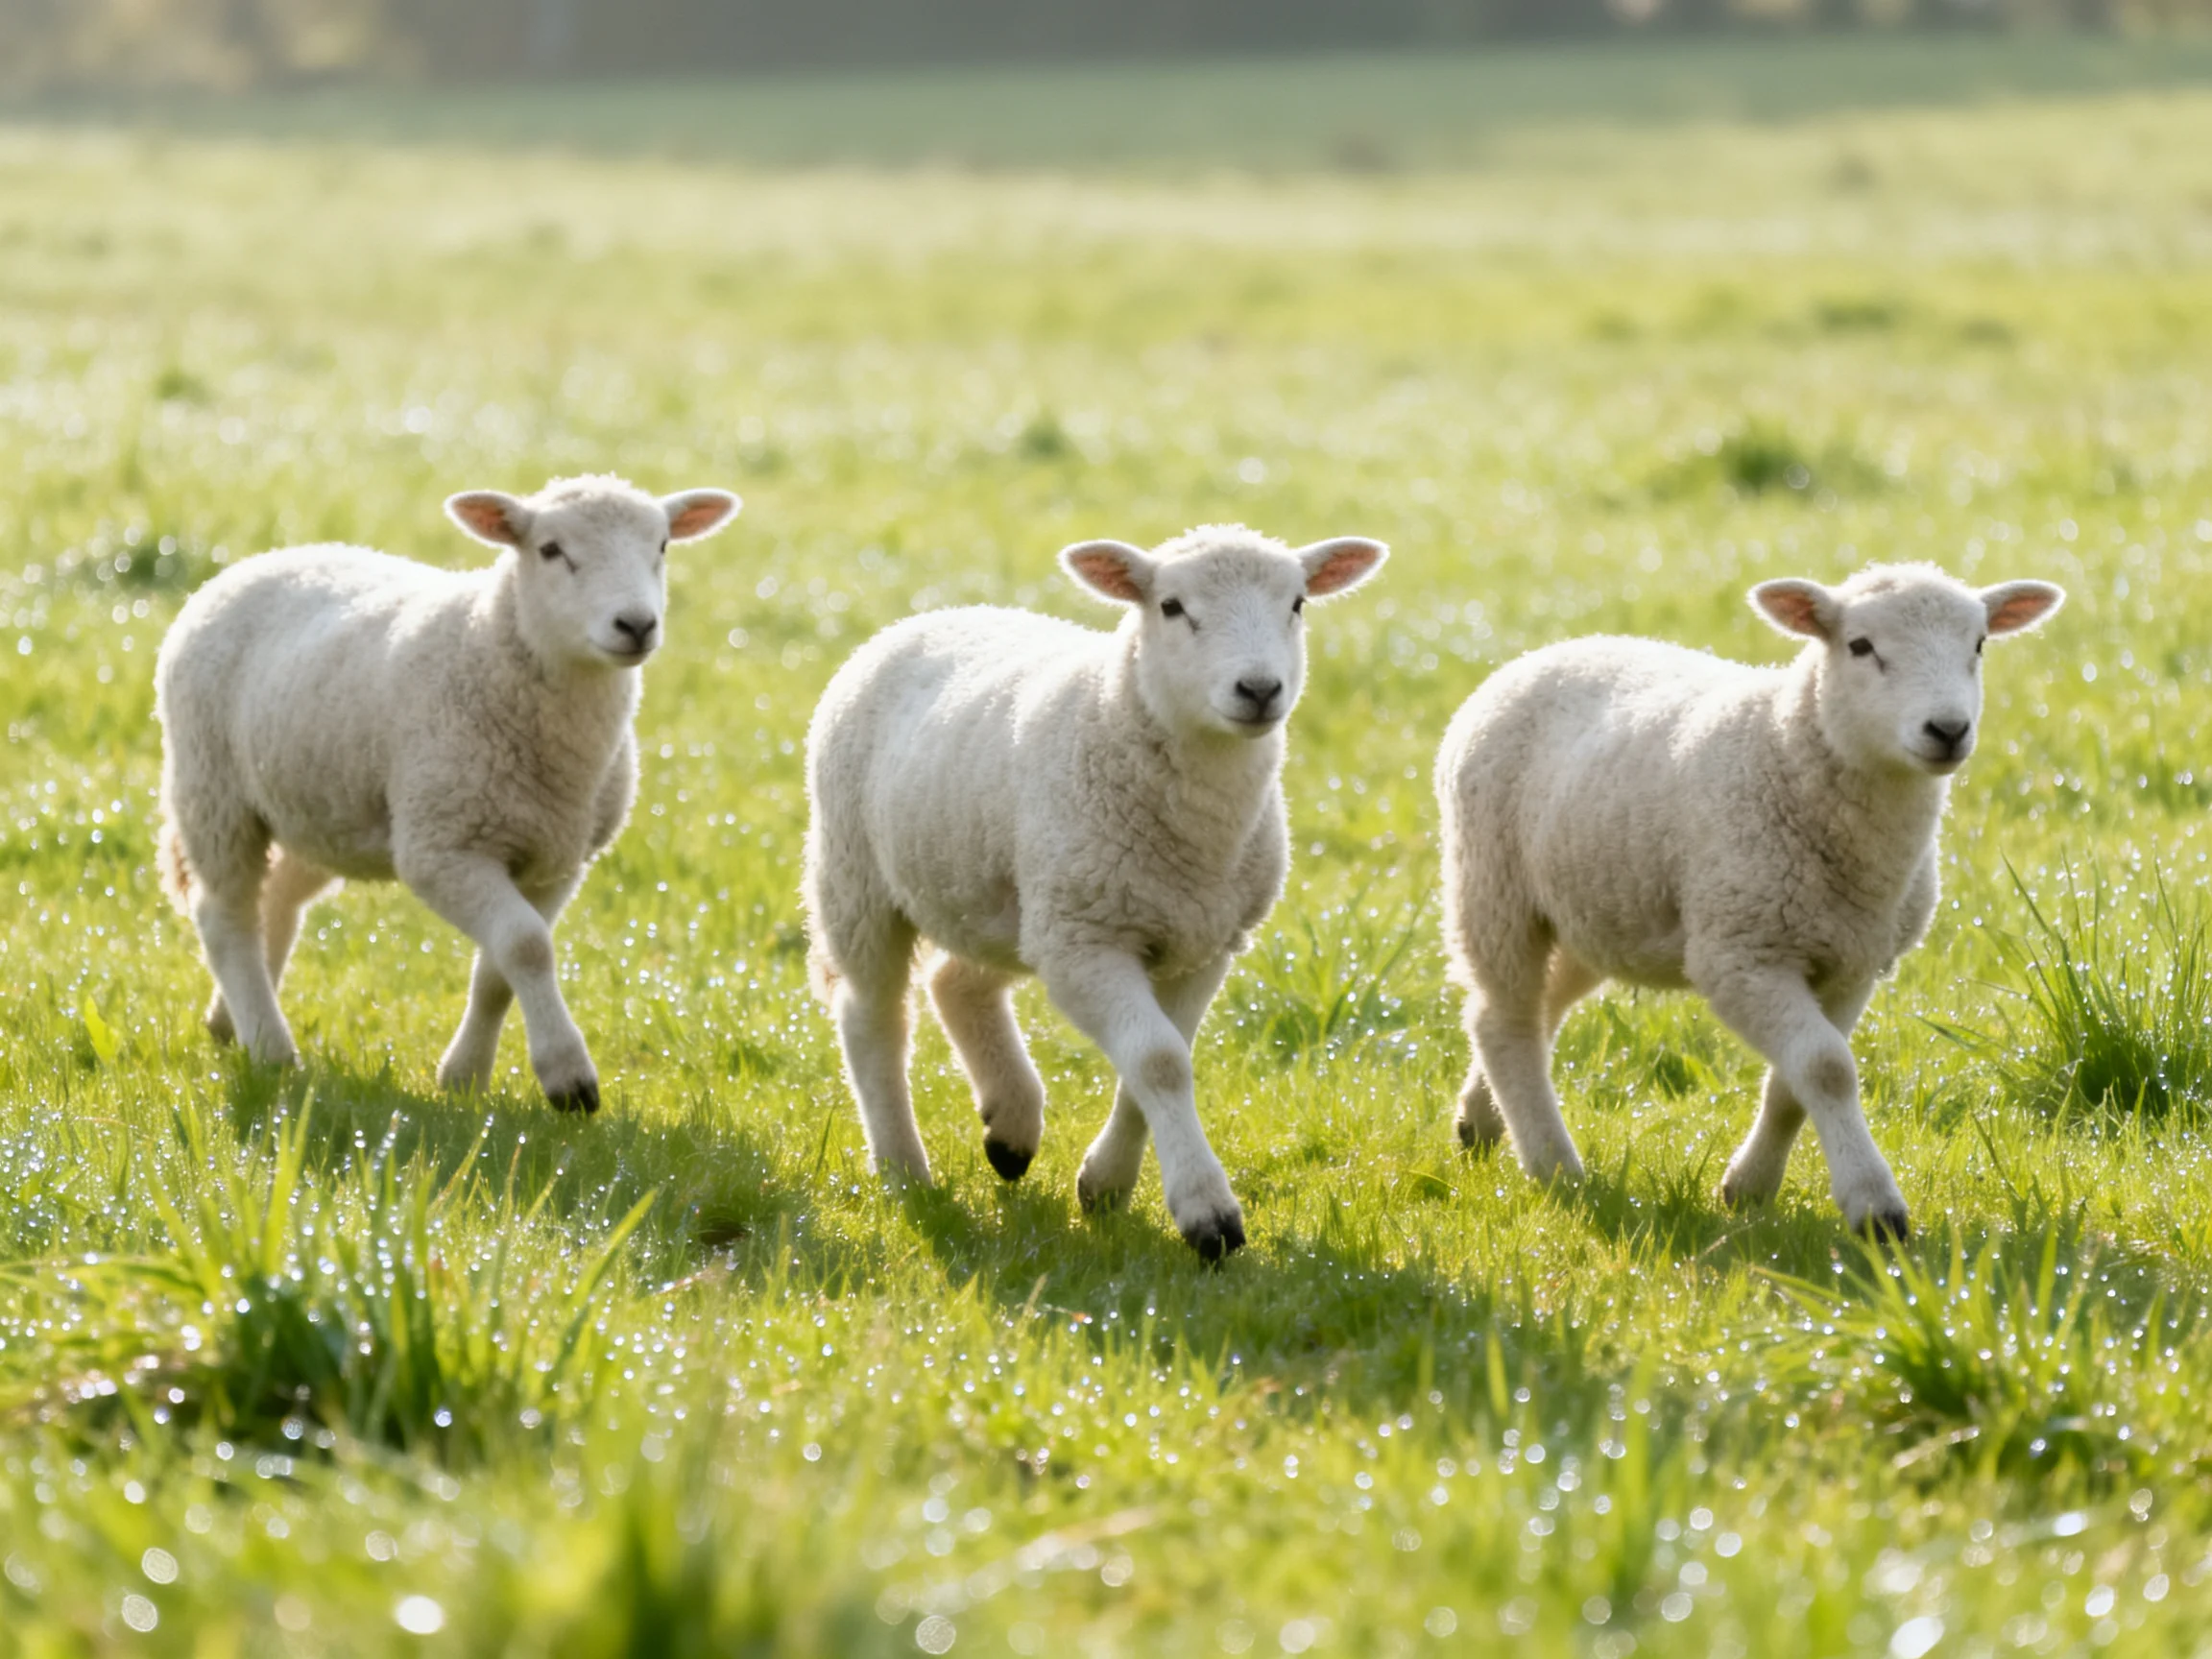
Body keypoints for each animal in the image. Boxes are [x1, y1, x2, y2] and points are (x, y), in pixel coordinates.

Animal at [153, 474, 741, 1111]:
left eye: (662, 546)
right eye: (550, 550)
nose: (635, 625)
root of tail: (258, 561)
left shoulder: (558, 860)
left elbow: (500, 969)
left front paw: (465, 1077)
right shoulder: (442, 848)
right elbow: (527, 945)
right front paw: (569, 1080)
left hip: (315, 808)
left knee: (277, 898)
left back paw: (230, 1022)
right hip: (213, 788)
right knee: (225, 913)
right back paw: (269, 1045)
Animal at [803, 524, 1386, 1259]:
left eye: (1298, 604)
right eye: (1171, 607)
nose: (1259, 688)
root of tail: (932, 615)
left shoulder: (1202, 943)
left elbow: (1161, 1059)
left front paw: (1105, 1186)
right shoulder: (1087, 941)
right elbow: (1161, 1060)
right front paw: (1208, 1214)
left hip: (1007, 897)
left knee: (957, 983)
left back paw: (1011, 1129)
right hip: (859, 874)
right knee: (872, 1016)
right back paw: (905, 1170)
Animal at [1435, 563, 2063, 1238]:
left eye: (1979, 645)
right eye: (1859, 646)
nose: (1947, 730)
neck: (1786, 747)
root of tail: (1541, 654)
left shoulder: (1854, 963)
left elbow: (1798, 1080)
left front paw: (1750, 1187)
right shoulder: (1740, 954)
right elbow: (1827, 1067)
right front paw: (1875, 1207)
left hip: (1595, 908)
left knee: (1540, 1006)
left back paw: (1480, 1122)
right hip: (1493, 886)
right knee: (1503, 1021)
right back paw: (1554, 1165)